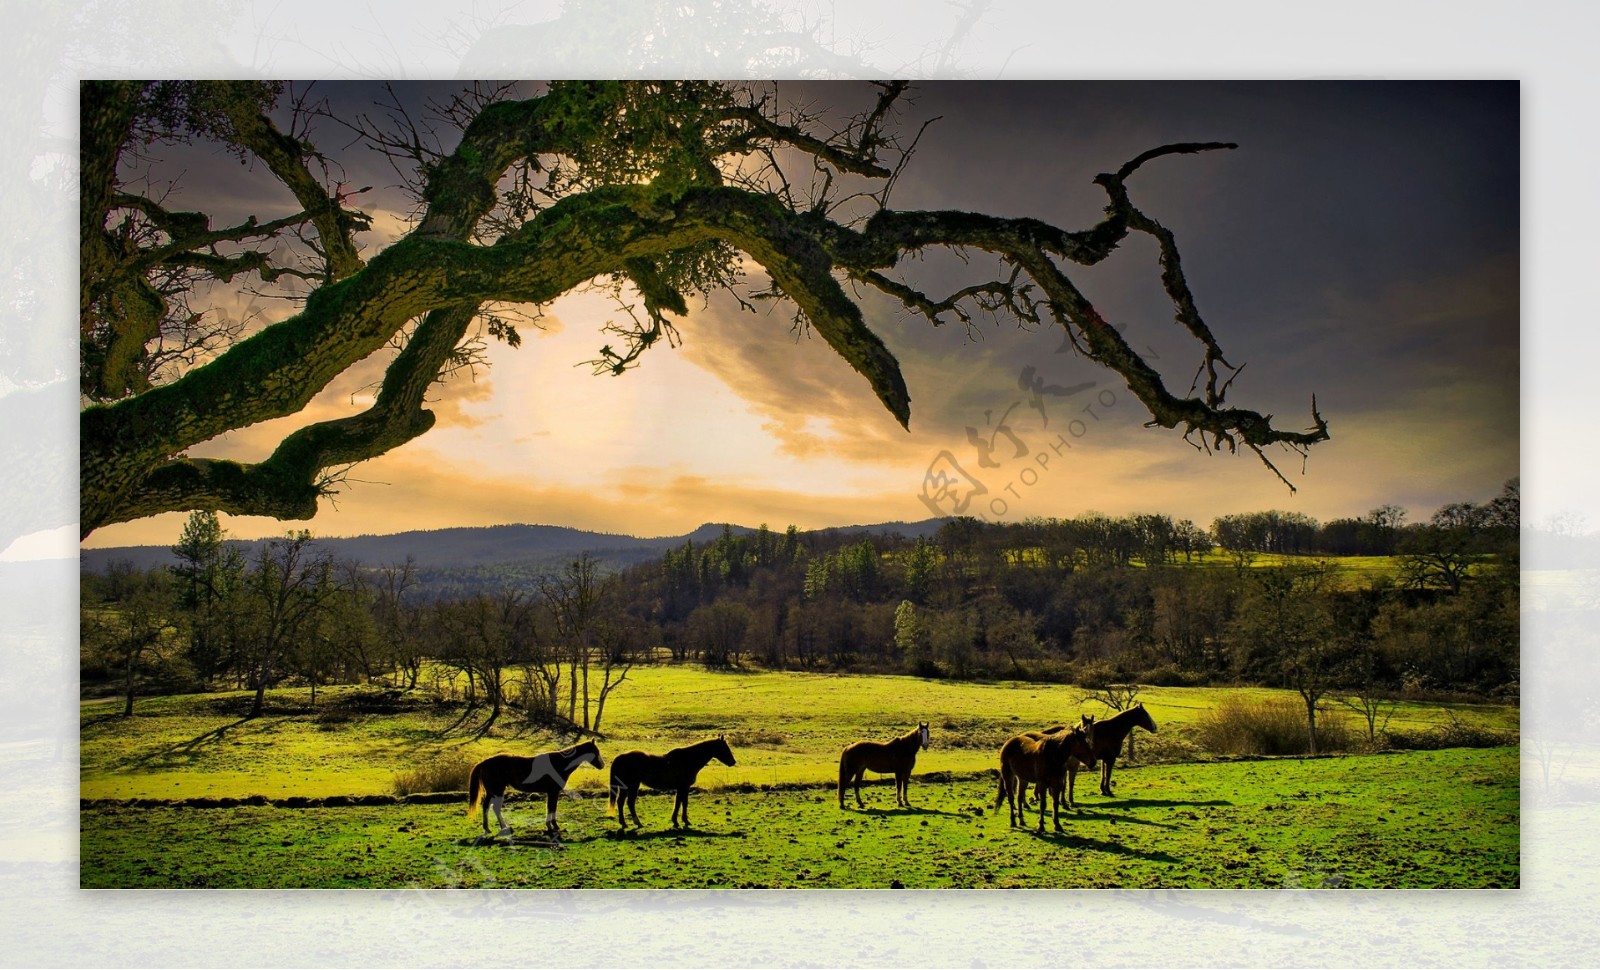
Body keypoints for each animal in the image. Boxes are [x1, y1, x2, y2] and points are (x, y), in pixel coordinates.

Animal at [470, 745, 608, 845]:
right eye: (596, 751)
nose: (603, 765)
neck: (560, 763)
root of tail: (484, 763)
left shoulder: (552, 792)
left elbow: (551, 808)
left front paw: (551, 826)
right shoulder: (553, 792)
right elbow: (552, 808)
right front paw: (552, 826)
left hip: (492, 792)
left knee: (487, 807)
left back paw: (489, 828)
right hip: (497, 791)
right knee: (494, 808)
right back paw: (503, 827)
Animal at [604, 742, 736, 832]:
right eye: (724, 747)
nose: (733, 762)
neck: (688, 759)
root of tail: (620, 757)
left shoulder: (681, 788)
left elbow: (679, 802)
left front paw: (676, 821)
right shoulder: (684, 787)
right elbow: (683, 803)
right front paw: (683, 820)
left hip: (626, 787)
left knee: (621, 802)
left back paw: (624, 823)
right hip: (632, 786)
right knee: (629, 803)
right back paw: (637, 823)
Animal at [1030, 704, 1158, 803]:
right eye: (1145, 715)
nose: (1155, 728)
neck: (1112, 730)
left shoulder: (1103, 759)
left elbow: (1103, 774)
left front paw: (1103, 790)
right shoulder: (1110, 759)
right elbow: (1107, 775)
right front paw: (1108, 791)